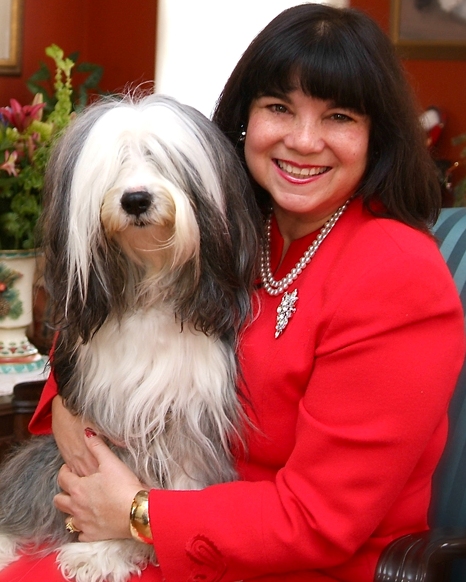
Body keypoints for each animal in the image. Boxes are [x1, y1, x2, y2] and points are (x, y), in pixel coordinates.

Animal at [0, 93, 260, 580]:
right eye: (116, 163)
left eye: (160, 158)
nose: (136, 199)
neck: (148, 281)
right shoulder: (103, 418)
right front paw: (104, 549)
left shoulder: (189, 414)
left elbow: (181, 477)